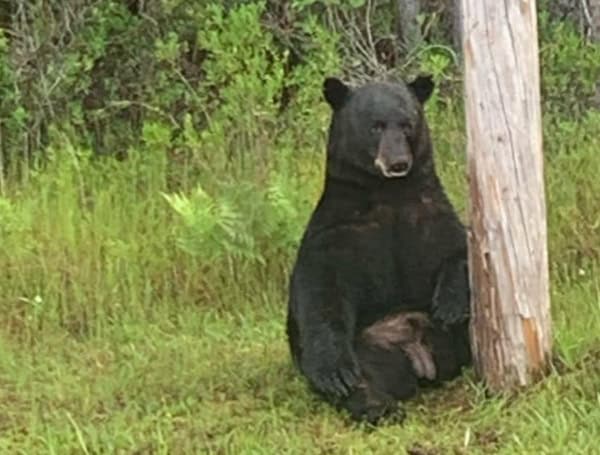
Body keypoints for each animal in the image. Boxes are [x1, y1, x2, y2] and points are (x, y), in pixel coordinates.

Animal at [288, 74, 474, 424]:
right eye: (375, 126)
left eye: (407, 124)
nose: (398, 162)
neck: (389, 193)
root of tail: (418, 355)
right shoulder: (339, 231)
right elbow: (322, 290)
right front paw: (333, 373)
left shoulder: (429, 213)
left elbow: (460, 248)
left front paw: (450, 304)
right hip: (368, 347)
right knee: (363, 377)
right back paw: (377, 405)